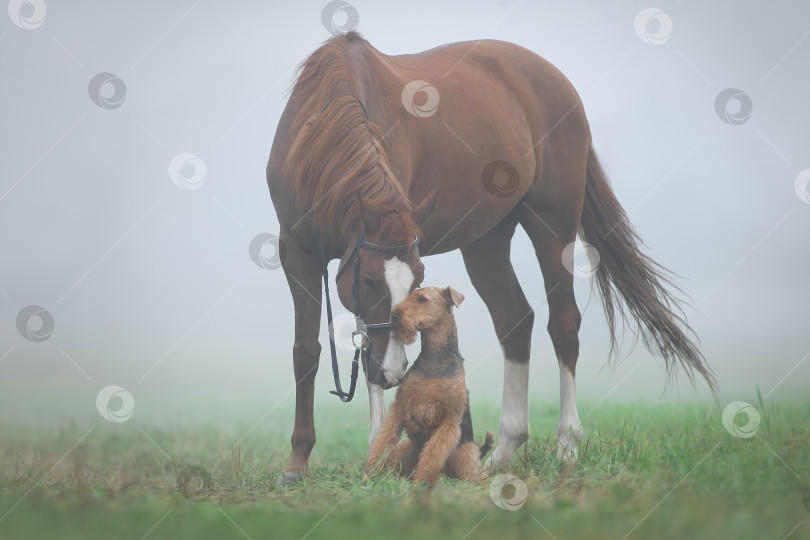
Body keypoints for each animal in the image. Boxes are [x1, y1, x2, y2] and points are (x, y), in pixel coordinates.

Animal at [364, 286, 492, 486]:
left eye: (422, 299)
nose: (395, 316)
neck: (434, 361)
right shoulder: (400, 406)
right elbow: (383, 439)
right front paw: (371, 473)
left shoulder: (450, 419)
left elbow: (434, 452)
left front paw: (421, 482)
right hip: (406, 446)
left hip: (465, 455)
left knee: (475, 475)